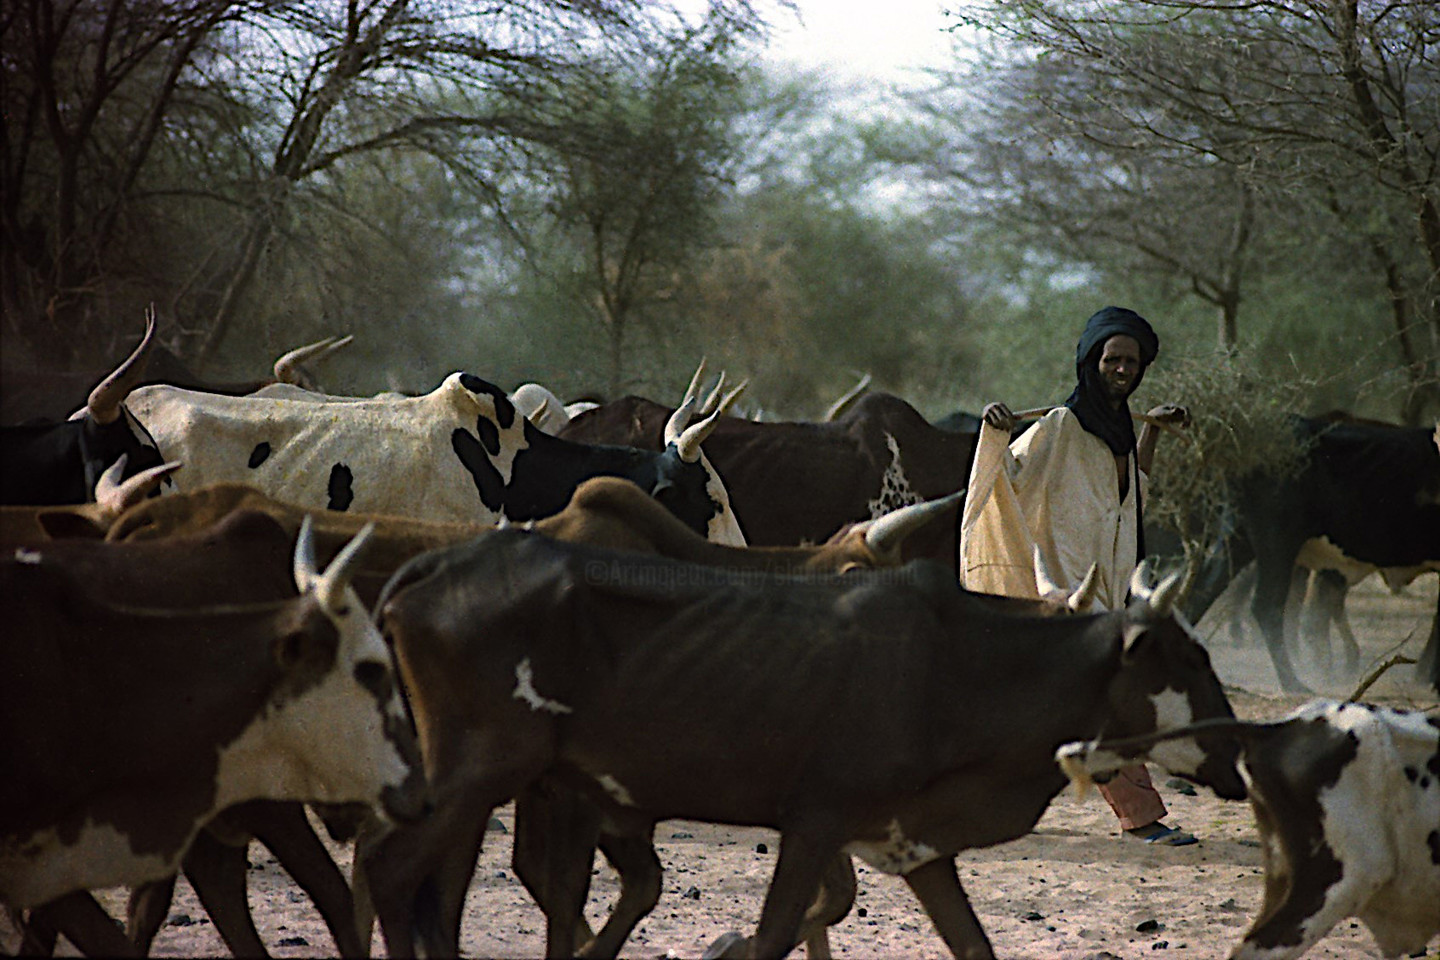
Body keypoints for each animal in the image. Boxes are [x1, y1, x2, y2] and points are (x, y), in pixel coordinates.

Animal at [357, 532, 1238, 960]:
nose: (1235, 758)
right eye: (1192, 659)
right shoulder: (816, 823)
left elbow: (972, 943)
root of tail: (432, 565)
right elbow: (778, 933)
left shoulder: (914, 846)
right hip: (482, 773)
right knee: (392, 870)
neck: (959, 667)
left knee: (437, 885)